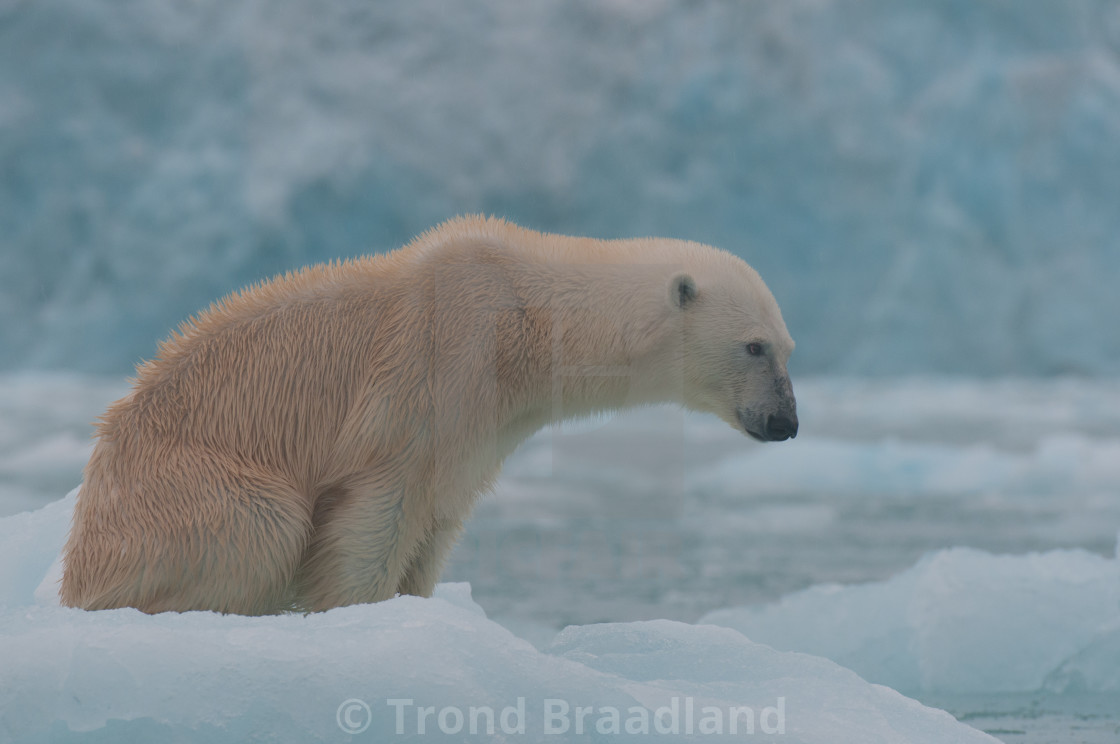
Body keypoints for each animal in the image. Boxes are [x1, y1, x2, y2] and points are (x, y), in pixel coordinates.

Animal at [61, 216, 797, 614]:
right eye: (754, 346)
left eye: (789, 348)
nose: (785, 424)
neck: (525, 317)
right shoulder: (431, 372)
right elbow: (376, 516)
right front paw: (354, 612)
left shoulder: (486, 423)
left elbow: (440, 517)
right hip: (173, 491)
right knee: (263, 522)